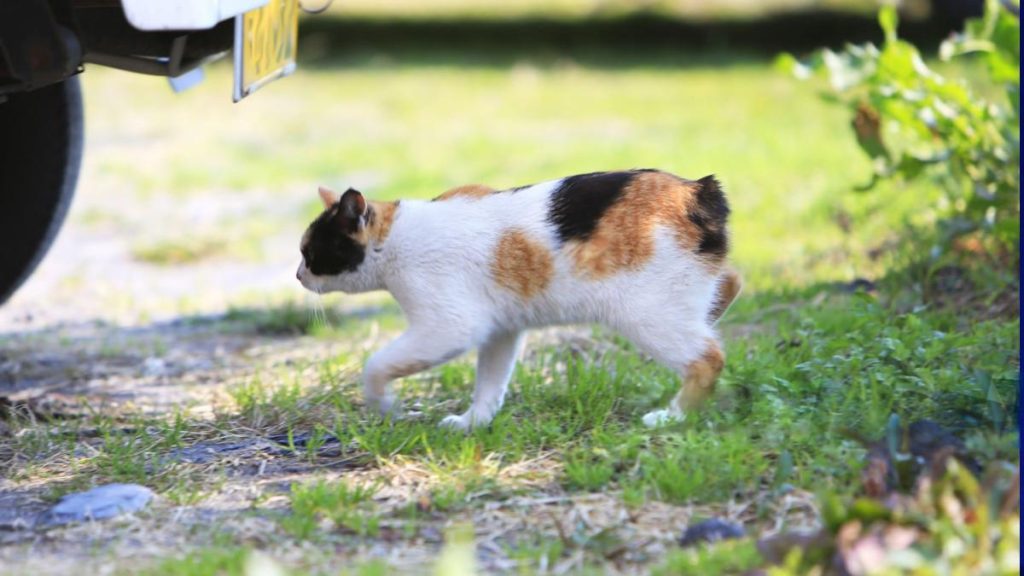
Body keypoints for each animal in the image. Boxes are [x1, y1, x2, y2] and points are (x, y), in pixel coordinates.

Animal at [294, 168, 737, 428]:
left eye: (310, 253)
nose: (298, 275)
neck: (395, 237)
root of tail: (698, 191)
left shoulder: (449, 326)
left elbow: (376, 364)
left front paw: (382, 404)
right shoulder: (500, 330)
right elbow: (490, 384)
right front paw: (473, 423)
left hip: (647, 314)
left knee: (708, 359)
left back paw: (672, 417)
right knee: (730, 284)